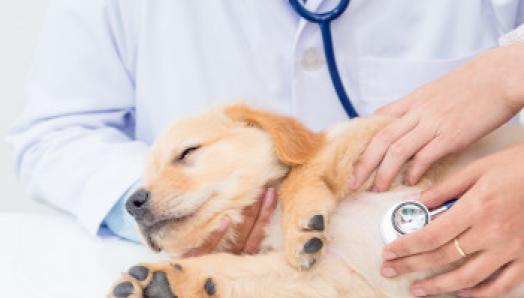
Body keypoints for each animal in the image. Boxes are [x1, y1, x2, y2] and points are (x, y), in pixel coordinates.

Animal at [107, 105, 524, 298]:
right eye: (145, 175)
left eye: (187, 152)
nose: (132, 203)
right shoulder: (332, 278)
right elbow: (232, 270)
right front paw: (165, 280)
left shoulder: (376, 144)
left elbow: (303, 171)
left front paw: (302, 224)